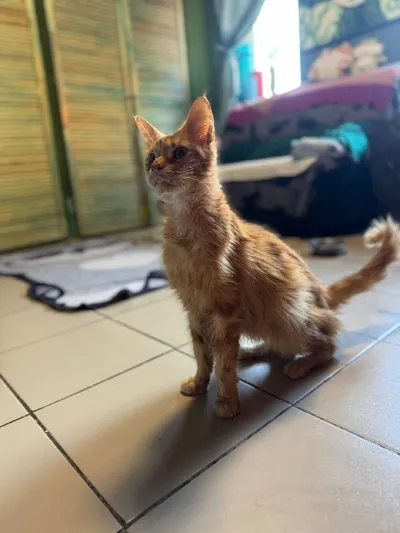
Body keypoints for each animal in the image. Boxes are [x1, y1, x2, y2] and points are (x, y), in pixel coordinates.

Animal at [135, 96, 399, 418]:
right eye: (151, 157)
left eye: (180, 152)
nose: (156, 167)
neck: (184, 228)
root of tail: (322, 293)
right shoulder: (194, 310)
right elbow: (201, 354)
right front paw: (199, 383)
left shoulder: (224, 312)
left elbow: (224, 364)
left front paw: (227, 402)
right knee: (279, 345)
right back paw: (253, 350)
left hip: (288, 317)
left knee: (329, 341)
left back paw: (300, 363)